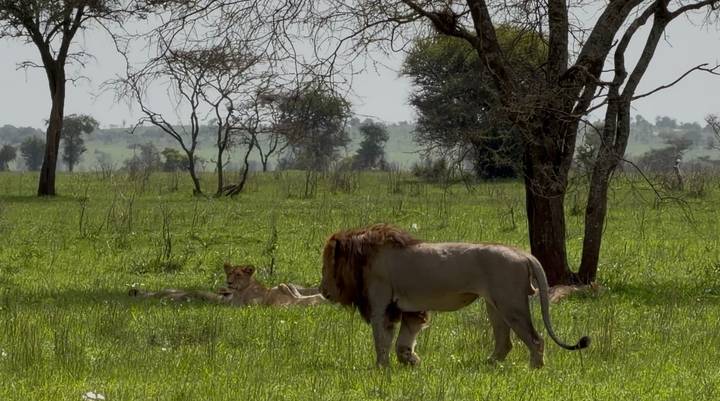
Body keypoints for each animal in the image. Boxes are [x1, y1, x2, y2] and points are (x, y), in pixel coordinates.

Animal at [319, 224, 590, 368]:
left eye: (325, 267)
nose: (323, 291)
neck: (363, 257)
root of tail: (523, 253)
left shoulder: (381, 306)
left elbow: (381, 341)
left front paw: (381, 369)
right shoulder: (408, 309)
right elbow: (403, 342)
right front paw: (411, 361)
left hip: (511, 304)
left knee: (536, 339)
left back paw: (533, 369)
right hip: (495, 305)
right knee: (505, 342)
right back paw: (487, 365)